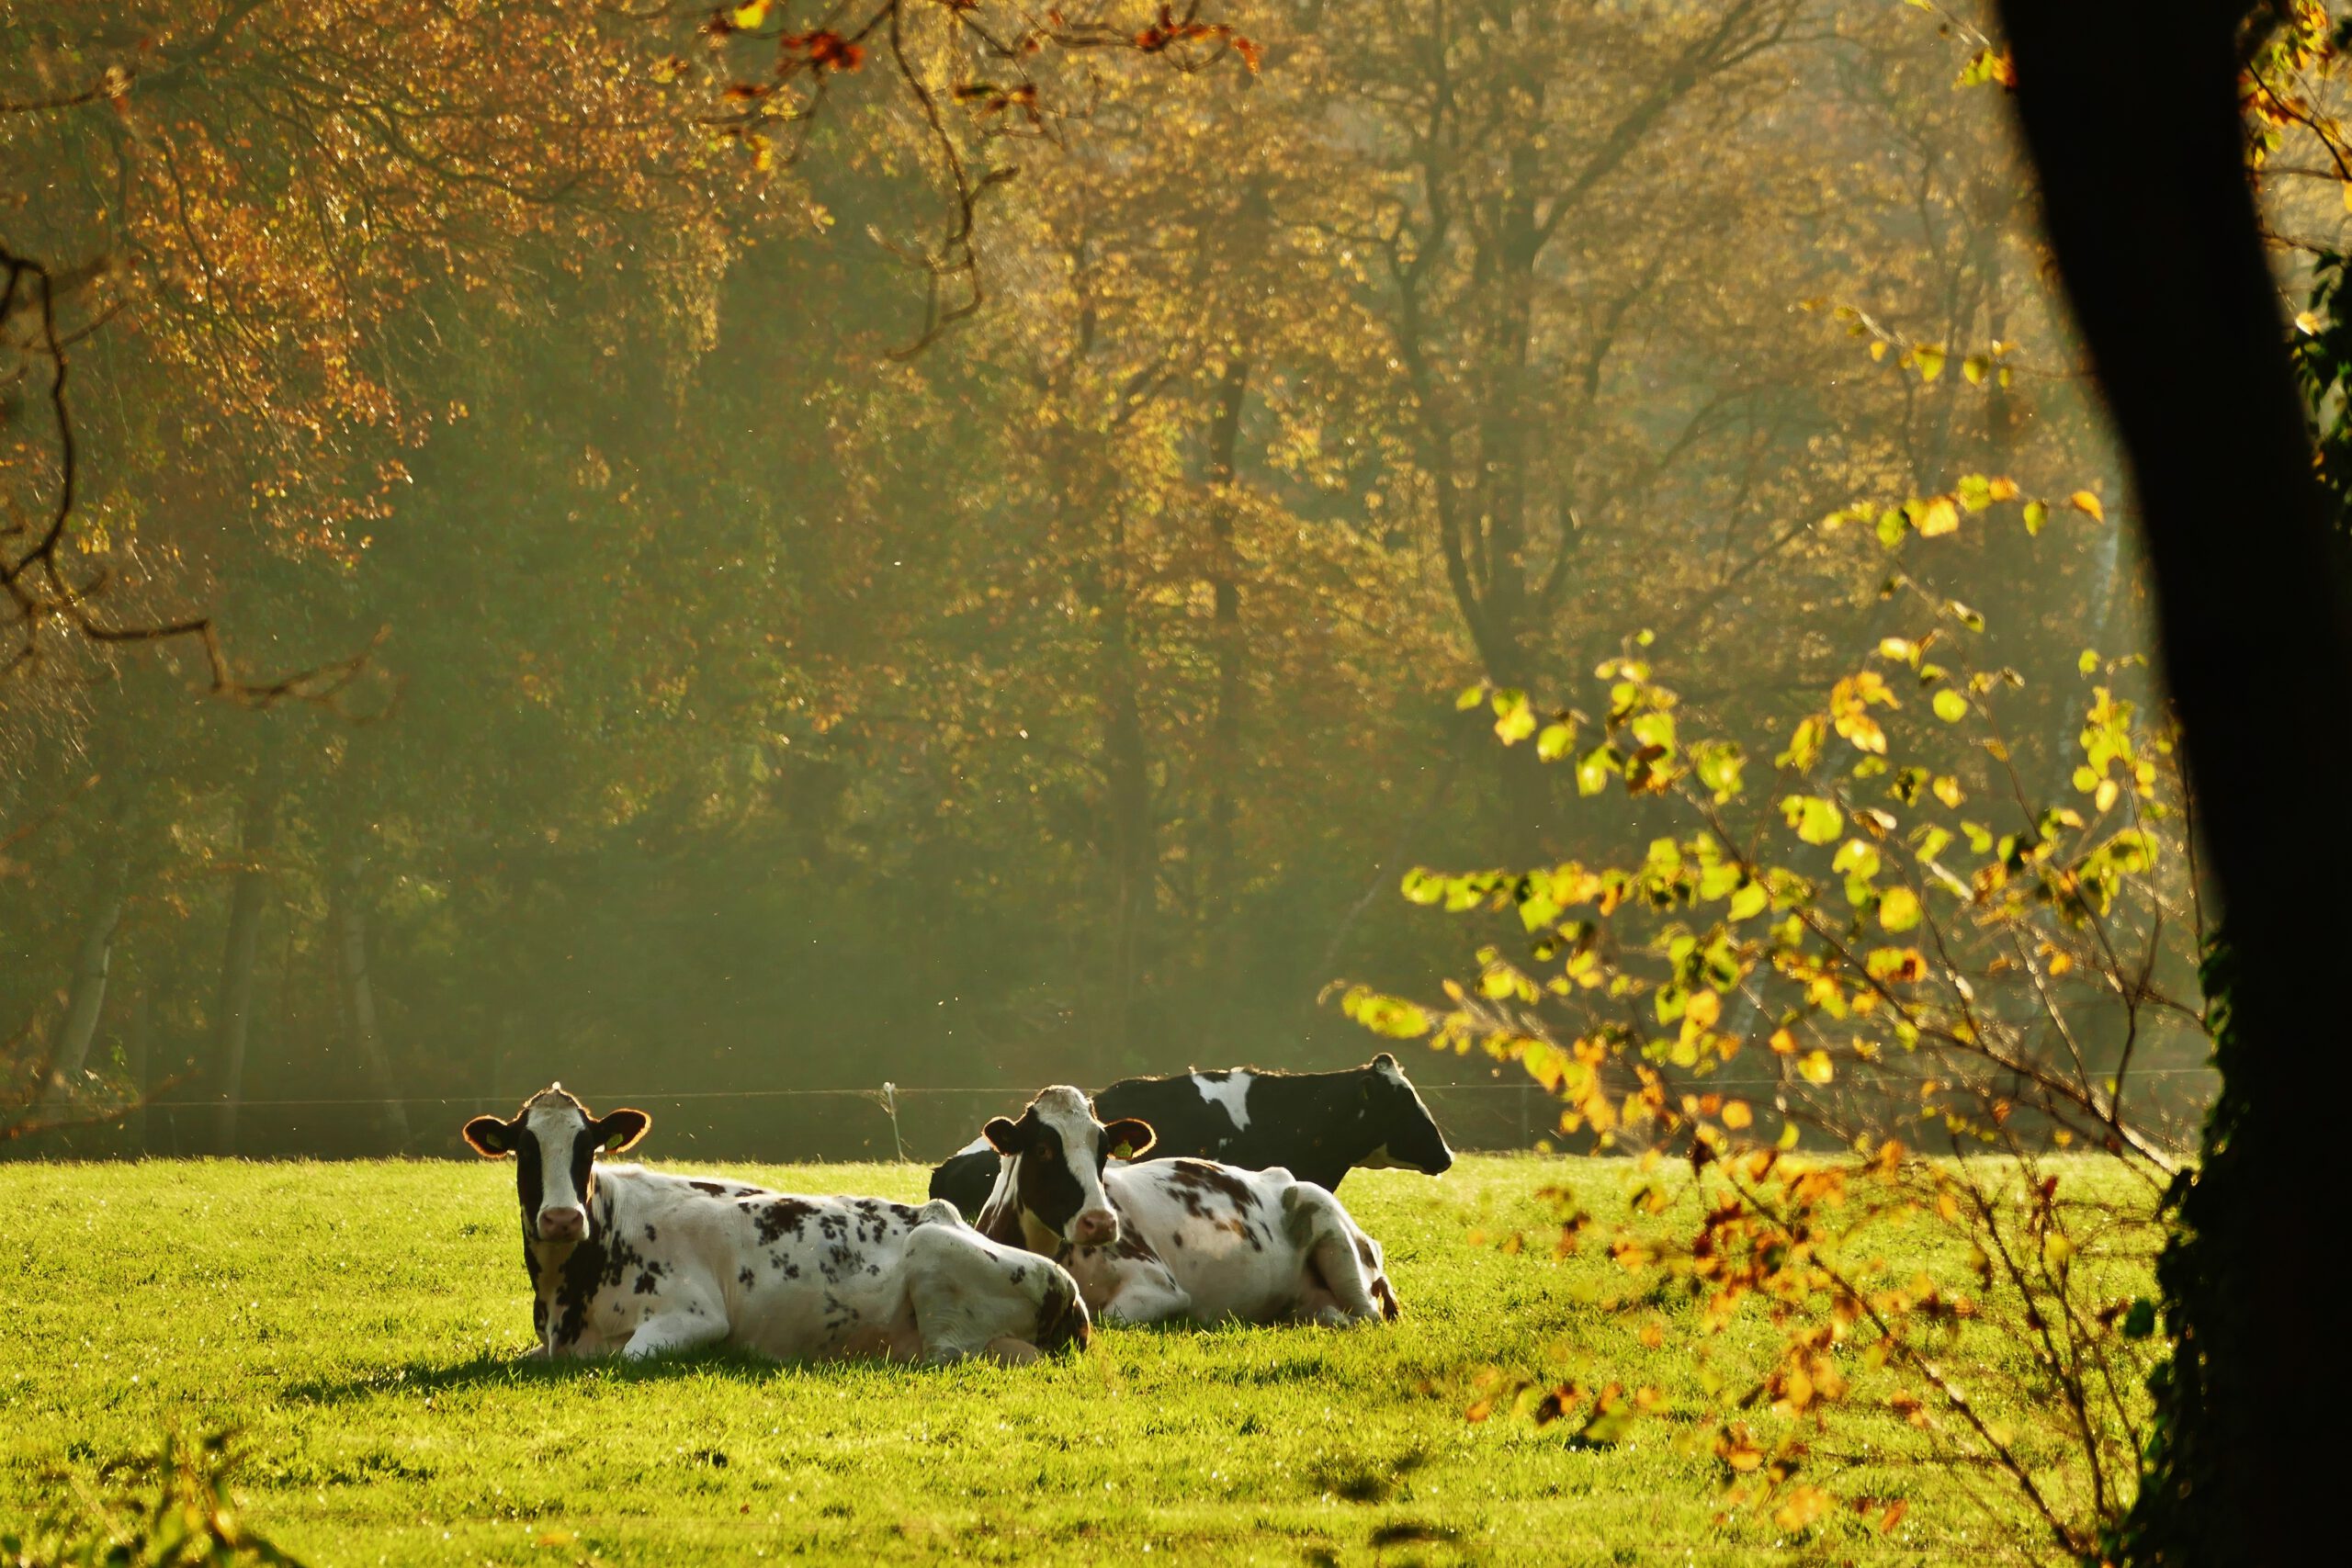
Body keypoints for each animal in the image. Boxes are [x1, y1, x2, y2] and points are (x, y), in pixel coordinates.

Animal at [465, 1086, 1091, 1363]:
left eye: (587, 1149)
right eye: (524, 1150)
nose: (561, 1217)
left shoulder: (692, 1316)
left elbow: (630, 1357)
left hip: (935, 1260)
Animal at [968, 1086, 1392, 1335]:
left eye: (1103, 1151)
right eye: (1043, 1149)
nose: (1100, 1223)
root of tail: (1280, 1175)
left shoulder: (1159, 1286)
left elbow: (1110, 1317)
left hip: (1331, 1228)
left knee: (1366, 1315)